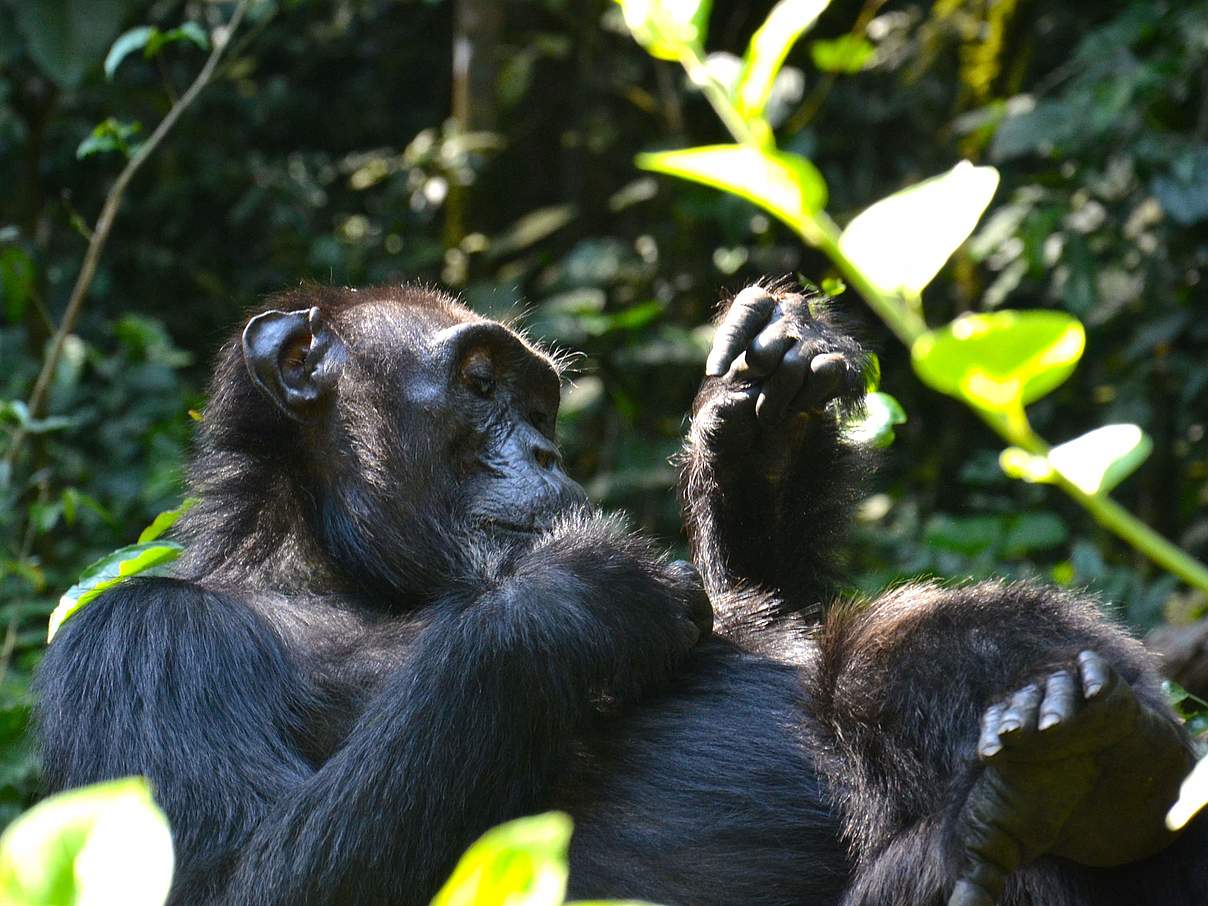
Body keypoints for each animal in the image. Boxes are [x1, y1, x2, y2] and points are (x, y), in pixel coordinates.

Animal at [33, 285, 1203, 906]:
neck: (335, 568)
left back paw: (1098, 759)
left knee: (875, 652)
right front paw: (571, 601)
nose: (547, 449)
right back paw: (989, 828)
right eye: (480, 384)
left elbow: (766, 619)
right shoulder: (132, 647)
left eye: (539, 401)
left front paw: (760, 419)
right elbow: (236, 880)